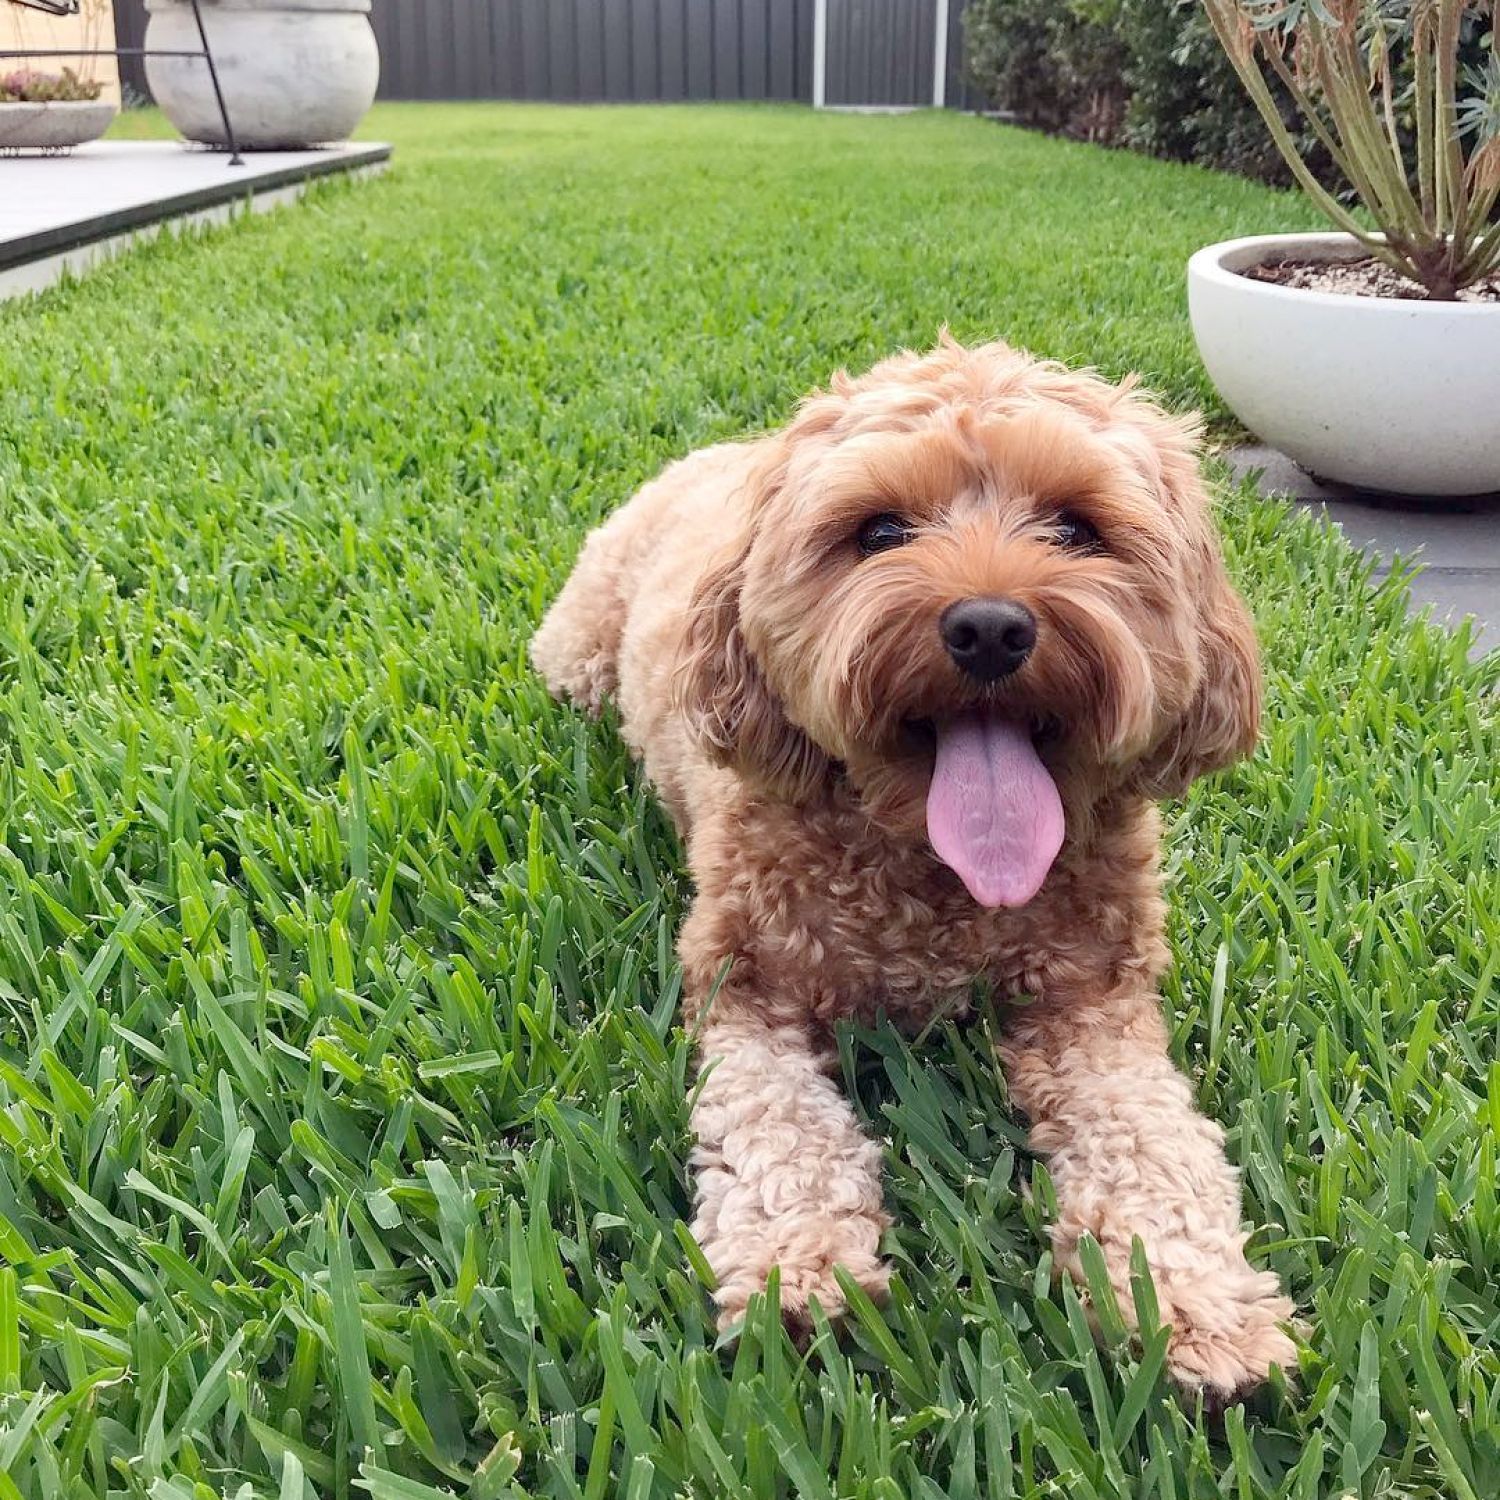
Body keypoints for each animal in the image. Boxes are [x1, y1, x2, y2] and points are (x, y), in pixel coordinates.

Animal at [534, 337, 1296, 1392]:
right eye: (882, 530)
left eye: (1076, 527)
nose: (989, 627)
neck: (935, 882)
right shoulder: (746, 992)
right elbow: (779, 1131)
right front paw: (797, 1269)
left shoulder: (1096, 1002)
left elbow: (1152, 1139)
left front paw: (1191, 1299)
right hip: (575, 652)